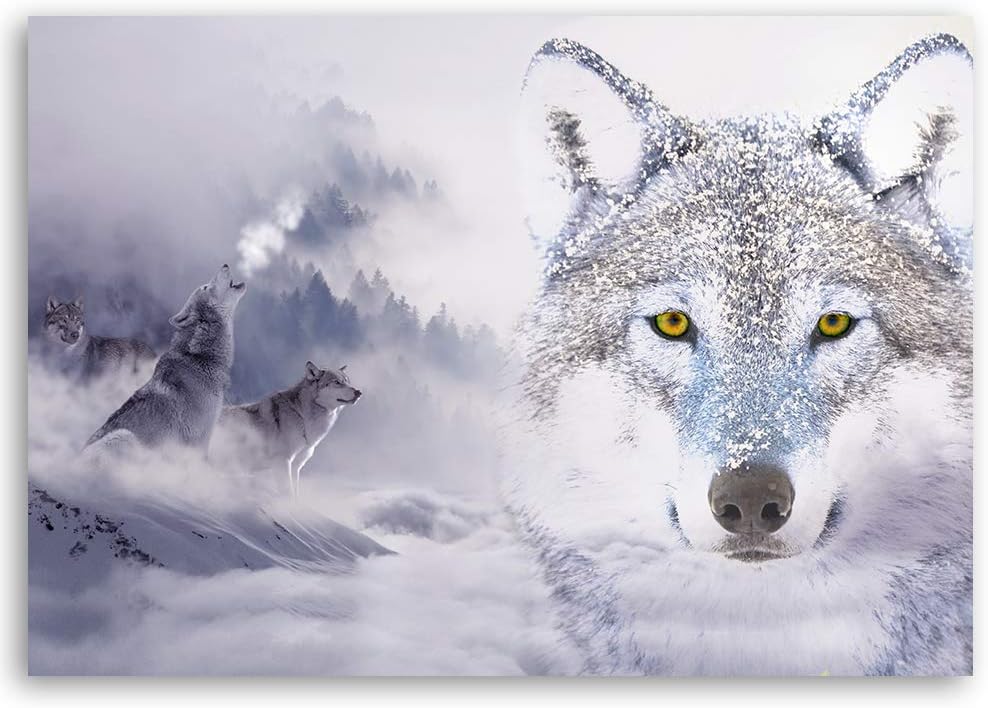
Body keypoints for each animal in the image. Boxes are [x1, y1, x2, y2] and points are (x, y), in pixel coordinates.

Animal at [217, 362, 362, 497]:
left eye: (347, 382)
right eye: (337, 382)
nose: (358, 392)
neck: (302, 416)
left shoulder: (296, 467)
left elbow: (295, 494)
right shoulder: (282, 462)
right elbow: (288, 494)